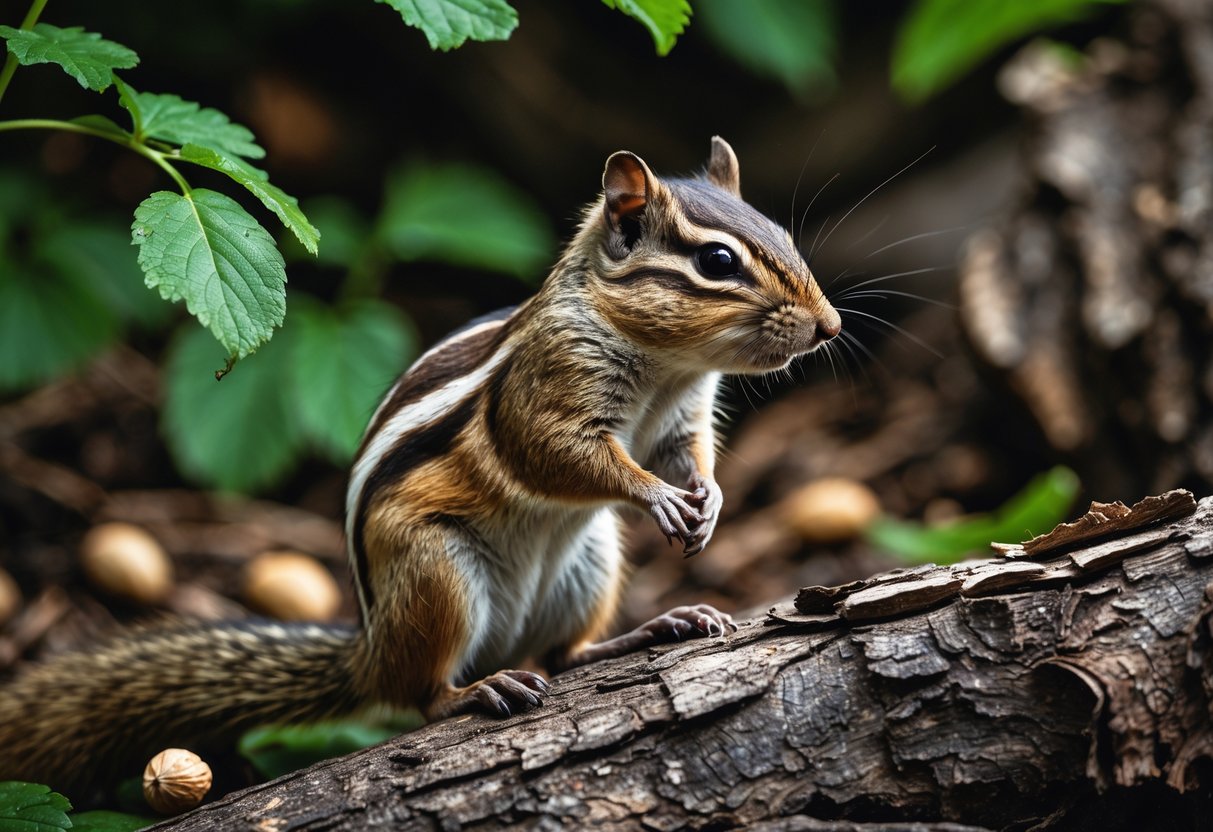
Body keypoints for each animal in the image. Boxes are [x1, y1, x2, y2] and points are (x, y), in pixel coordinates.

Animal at [0, 137, 840, 793]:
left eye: (781, 234)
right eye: (717, 260)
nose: (828, 326)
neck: (665, 363)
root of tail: (371, 655)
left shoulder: (683, 413)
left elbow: (688, 455)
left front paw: (709, 500)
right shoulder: (546, 391)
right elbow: (561, 455)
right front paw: (657, 497)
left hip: (587, 565)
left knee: (566, 653)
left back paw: (656, 627)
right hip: (438, 573)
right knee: (424, 694)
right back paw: (477, 690)